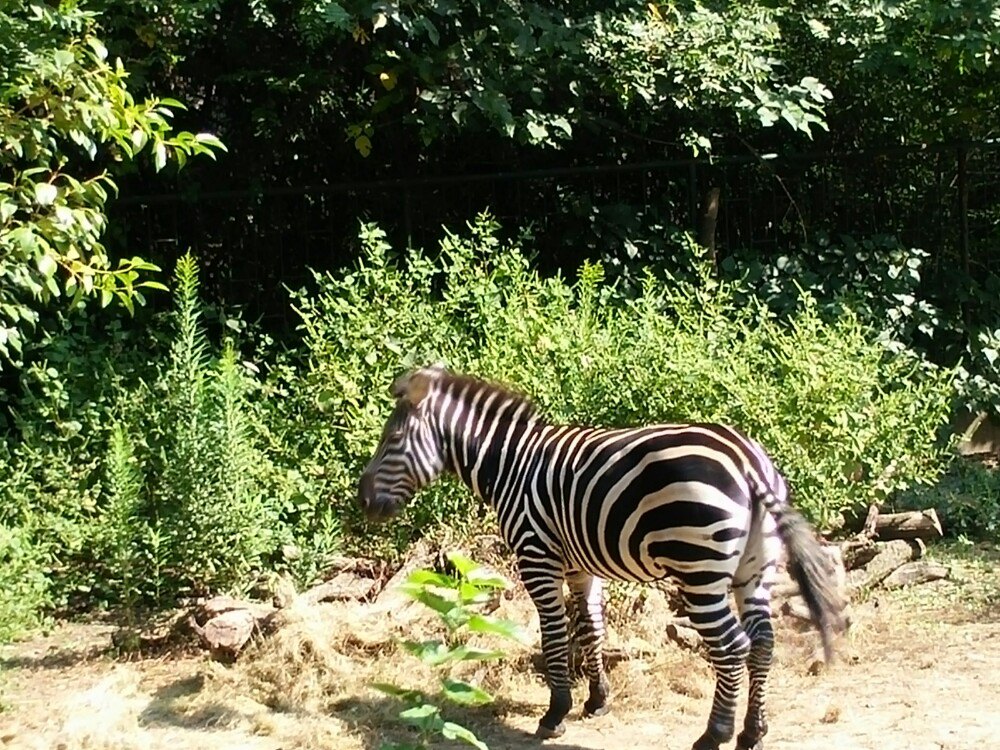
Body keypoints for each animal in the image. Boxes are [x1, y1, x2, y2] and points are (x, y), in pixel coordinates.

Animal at [358, 368, 844, 750]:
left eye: (393, 439)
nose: (362, 502)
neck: (510, 464)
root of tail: (748, 461)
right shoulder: (581, 567)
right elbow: (591, 629)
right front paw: (597, 701)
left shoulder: (537, 558)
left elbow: (554, 635)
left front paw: (555, 713)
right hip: (755, 569)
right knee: (762, 643)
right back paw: (753, 733)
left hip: (699, 570)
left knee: (732, 646)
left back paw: (713, 735)